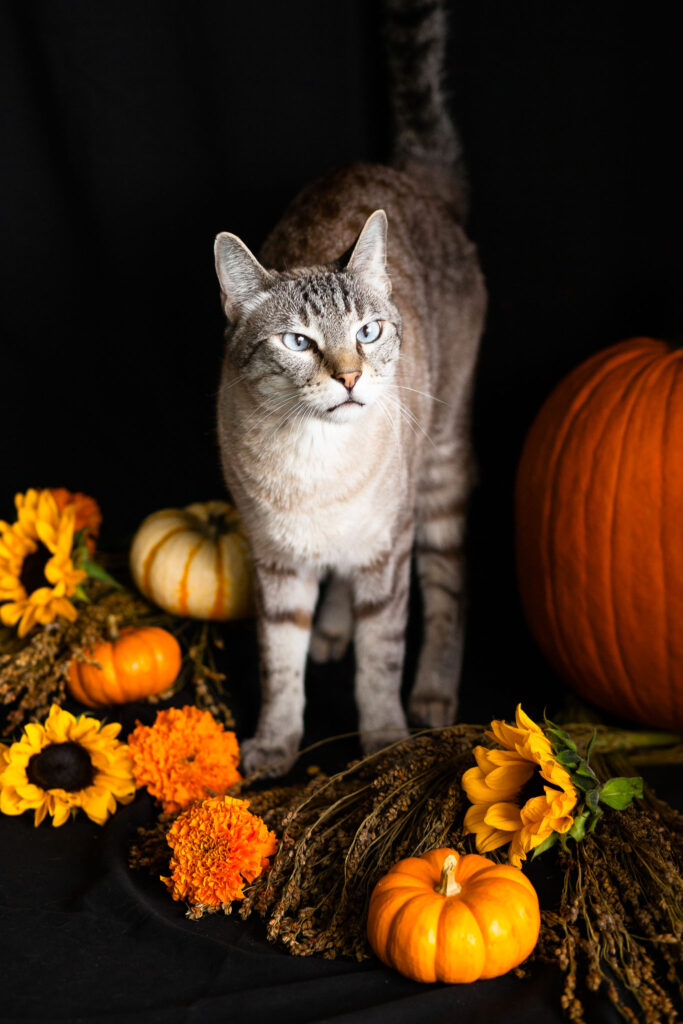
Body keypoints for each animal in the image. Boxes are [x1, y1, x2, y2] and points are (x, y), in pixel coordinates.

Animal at [214, 0, 485, 770]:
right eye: (298, 342)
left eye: (366, 332)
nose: (351, 376)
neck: (316, 465)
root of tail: (411, 180)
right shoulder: (275, 563)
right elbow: (280, 665)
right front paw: (274, 749)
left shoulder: (387, 551)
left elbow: (379, 662)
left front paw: (386, 742)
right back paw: (332, 630)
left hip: (440, 470)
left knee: (449, 590)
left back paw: (433, 693)